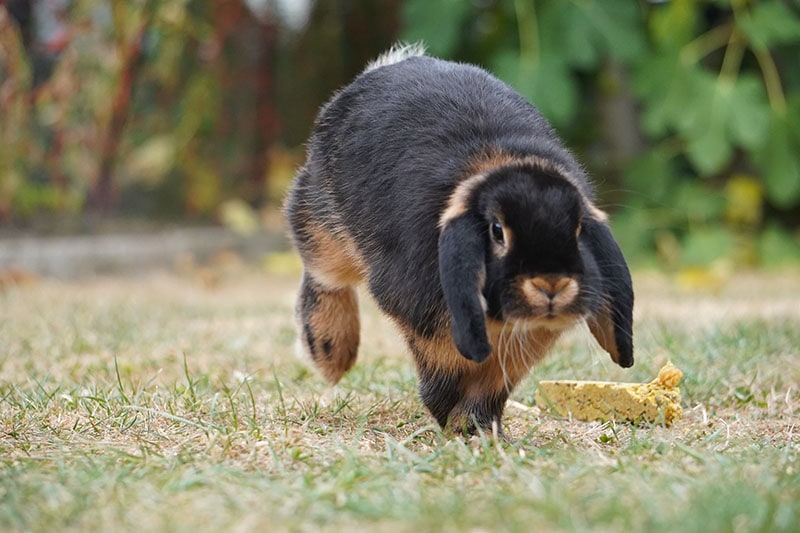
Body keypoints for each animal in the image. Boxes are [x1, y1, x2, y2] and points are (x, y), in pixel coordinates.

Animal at [284, 44, 634, 435]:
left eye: (576, 230)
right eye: (497, 230)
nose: (551, 284)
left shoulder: (523, 341)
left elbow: (494, 382)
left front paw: (478, 428)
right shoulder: (429, 323)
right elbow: (447, 370)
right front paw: (452, 421)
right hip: (322, 218)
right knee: (324, 276)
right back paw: (331, 357)